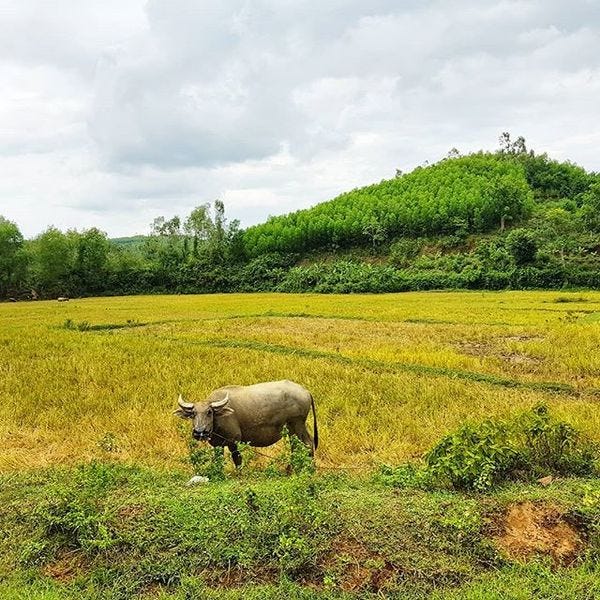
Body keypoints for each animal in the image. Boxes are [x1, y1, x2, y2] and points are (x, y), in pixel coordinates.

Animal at [175, 380, 318, 468]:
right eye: (193, 414)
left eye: (209, 412)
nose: (199, 432)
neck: (219, 418)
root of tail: (305, 392)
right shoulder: (217, 444)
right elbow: (218, 460)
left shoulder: (234, 441)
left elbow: (237, 459)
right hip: (292, 430)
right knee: (297, 446)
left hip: (297, 425)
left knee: (308, 444)